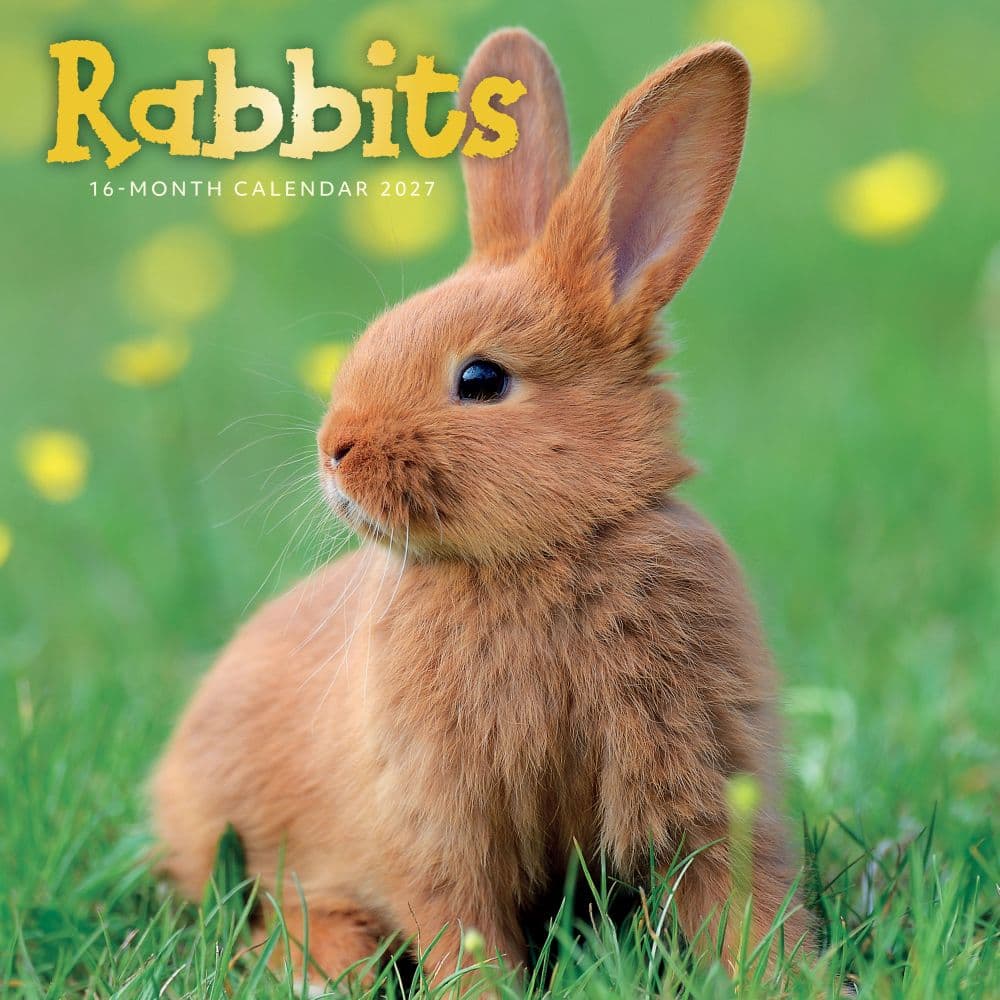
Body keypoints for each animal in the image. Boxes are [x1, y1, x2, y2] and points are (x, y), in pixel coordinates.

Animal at [151, 28, 815, 990]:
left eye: (481, 379)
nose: (334, 450)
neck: (545, 554)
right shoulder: (434, 819)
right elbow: (457, 919)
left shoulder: (705, 776)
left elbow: (739, 899)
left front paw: (786, 977)